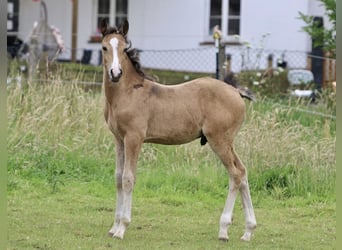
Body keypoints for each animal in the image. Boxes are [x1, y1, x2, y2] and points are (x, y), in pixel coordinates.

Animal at [100, 20, 255, 242]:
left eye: (122, 49)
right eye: (104, 48)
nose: (115, 73)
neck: (127, 93)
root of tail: (236, 91)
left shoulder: (134, 138)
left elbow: (128, 178)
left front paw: (122, 228)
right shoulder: (119, 139)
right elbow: (118, 178)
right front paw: (113, 227)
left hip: (219, 140)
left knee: (235, 174)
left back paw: (224, 229)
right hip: (227, 142)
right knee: (242, 172)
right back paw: (248, 231)